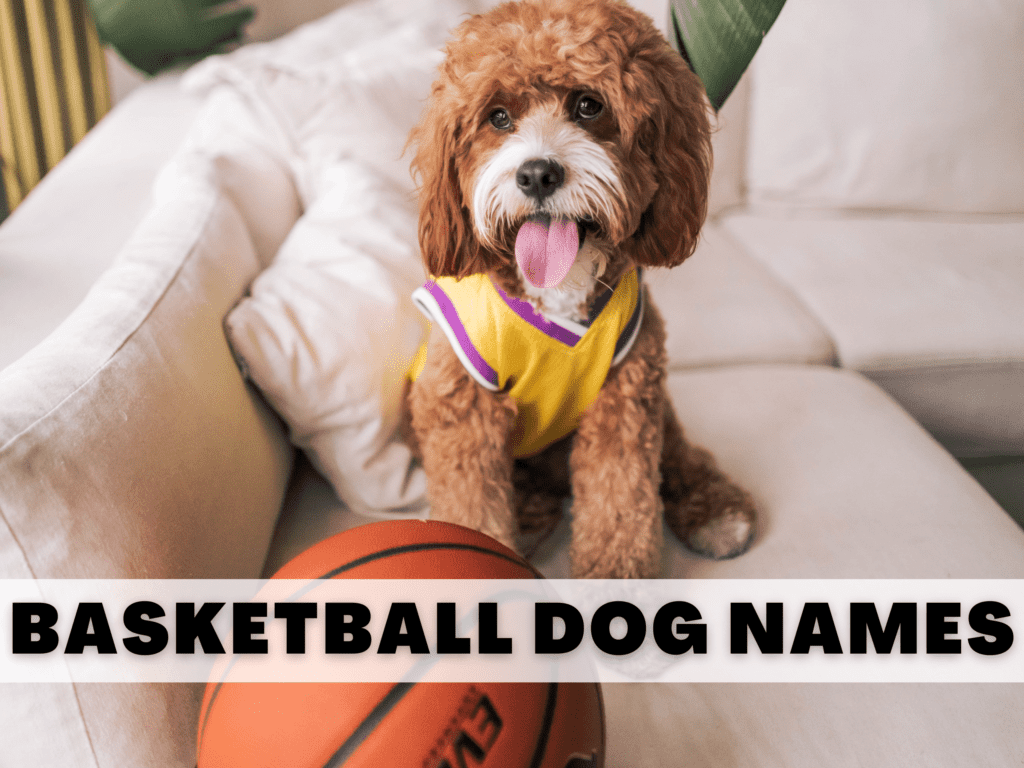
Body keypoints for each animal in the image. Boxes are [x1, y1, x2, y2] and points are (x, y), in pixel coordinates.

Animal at [405, 0, 753, 577]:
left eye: (589, 106)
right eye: (498, 117)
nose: (537, 174)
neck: (557, 287)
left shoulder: (626, 394)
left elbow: (621, 500)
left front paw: (614, 578)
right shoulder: (462, 407)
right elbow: (471, 502)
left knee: (679, 454)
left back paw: (714, 510)